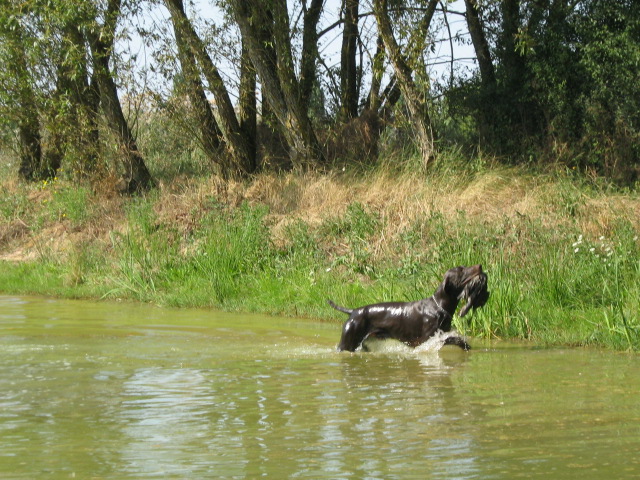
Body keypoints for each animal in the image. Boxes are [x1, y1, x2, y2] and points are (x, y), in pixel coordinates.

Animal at [330, 264, 490, 350]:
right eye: (461, 270)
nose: (480, 266)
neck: (438, 306)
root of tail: (353, 311)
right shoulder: (425, 340)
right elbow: (450, 339)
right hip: (348, 342)